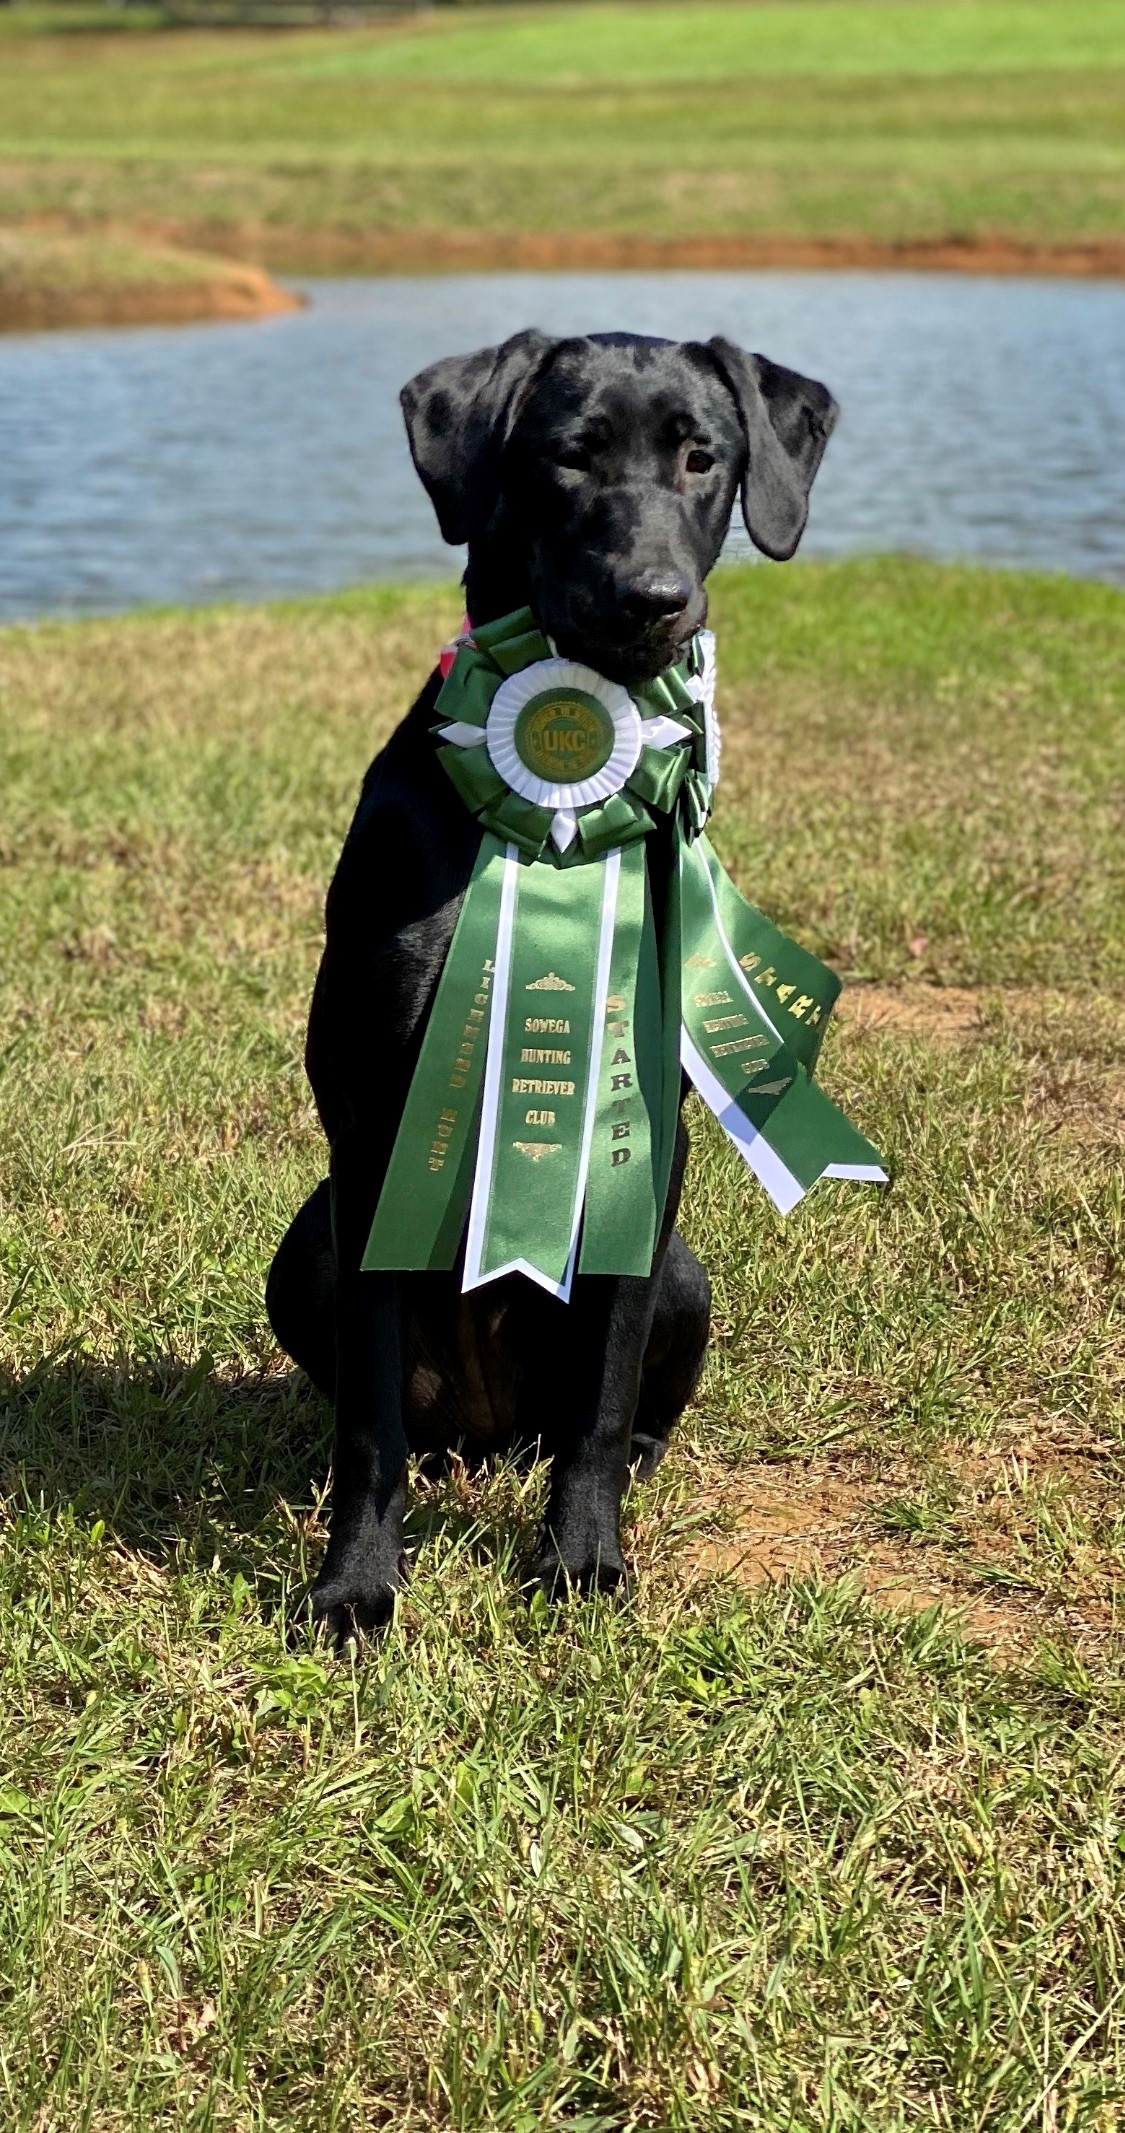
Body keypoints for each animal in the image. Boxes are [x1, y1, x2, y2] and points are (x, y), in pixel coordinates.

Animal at [271, 328, 836, 1629]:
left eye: (702, 457)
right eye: (566, 458)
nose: (653, 597)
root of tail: (487, 1434)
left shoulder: (646, 1150)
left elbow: (604, 1394)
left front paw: (581, 1562)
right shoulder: (370, 1131)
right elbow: (367, 1423)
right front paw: (356, 1586)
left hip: (686, 1273)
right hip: (303, 1251)